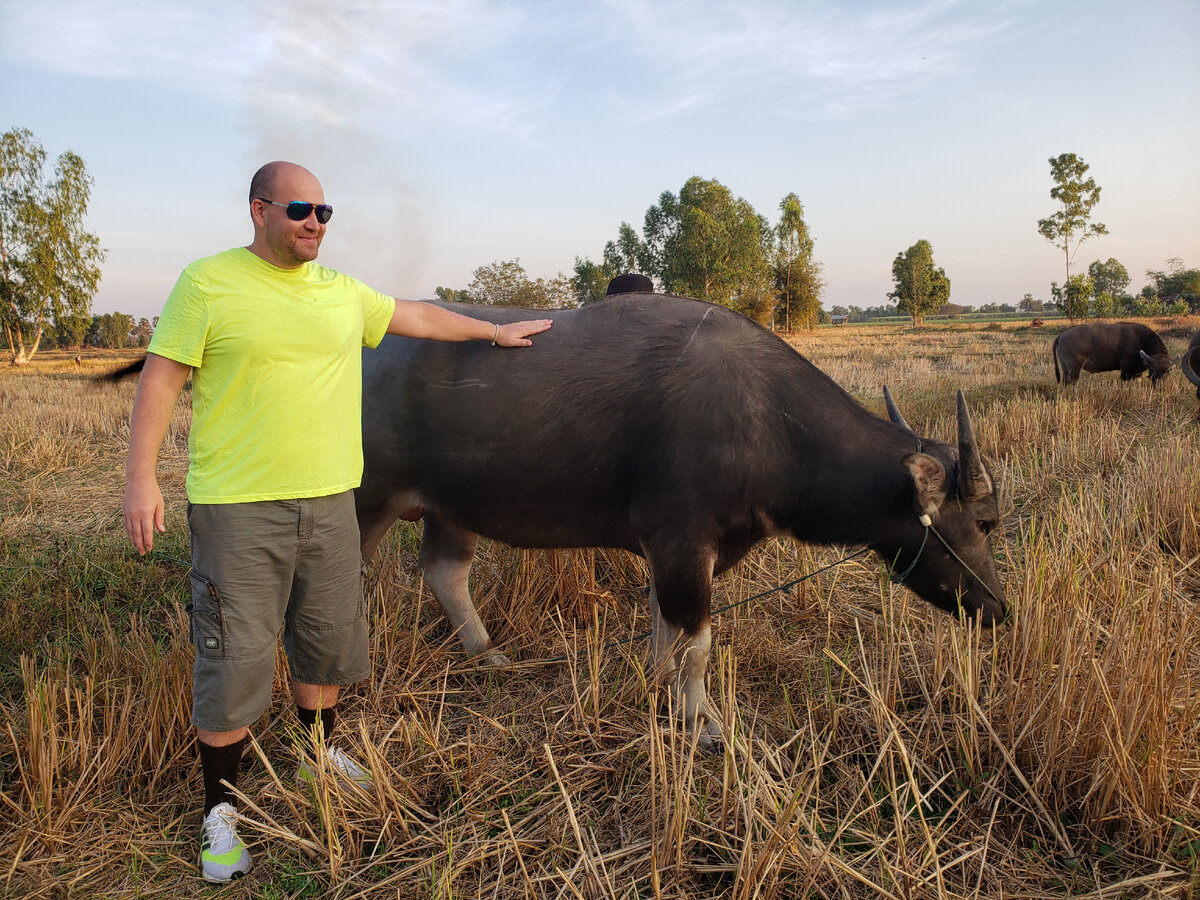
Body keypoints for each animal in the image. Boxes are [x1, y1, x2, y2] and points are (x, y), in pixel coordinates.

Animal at [352, 292, 1003, 744]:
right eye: (987, 522)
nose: (999, 609)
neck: (767, 421)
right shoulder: (683, 544)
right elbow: (698, 643)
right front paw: (700, 721)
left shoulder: (670, 557)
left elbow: (666, 631)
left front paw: (654, 684)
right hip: (367, 501)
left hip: (451, 505)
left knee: (445, 571)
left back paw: (485, 652)